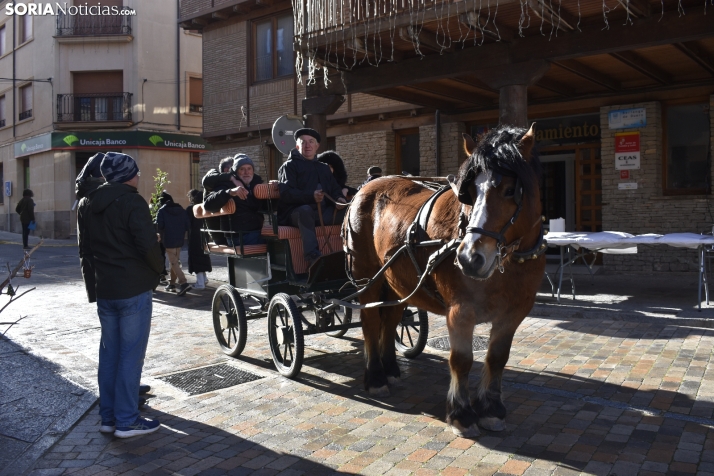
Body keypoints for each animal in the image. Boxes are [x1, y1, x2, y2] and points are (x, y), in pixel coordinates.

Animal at [342, 124, 544, 436]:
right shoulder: (460, 312)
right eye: (468, 192)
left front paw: (491, 410)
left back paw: (391, 369)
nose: (470, 258)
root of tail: (366, 187)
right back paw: (376, 378)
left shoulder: (513, 314)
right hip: (368, 280)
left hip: (397, 283)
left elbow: (497, 358)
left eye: (511, 190)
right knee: (371, 322)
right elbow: (461, 360)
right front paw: (461, 414)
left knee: (391, 319)